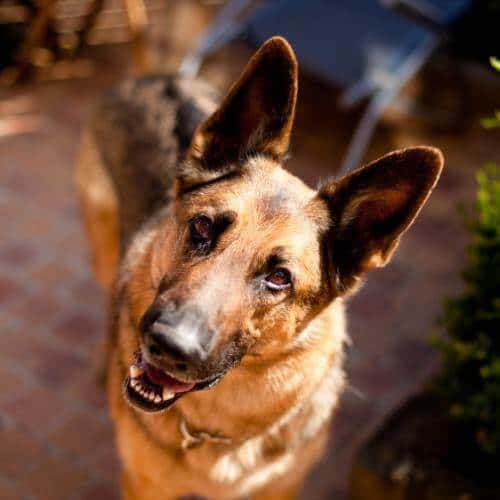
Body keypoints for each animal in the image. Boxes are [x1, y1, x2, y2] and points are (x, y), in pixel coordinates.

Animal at [76, 37, 444, 498]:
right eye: (202, 226)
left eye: (279, 278)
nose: (169, 346)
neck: (213, 432)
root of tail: (159, 76)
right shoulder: (144, 485)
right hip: (102, 248)